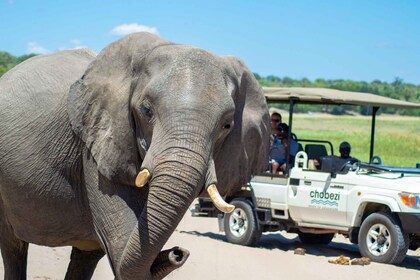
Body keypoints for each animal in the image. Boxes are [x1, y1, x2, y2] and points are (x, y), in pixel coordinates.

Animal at [0, 32, 270, 278]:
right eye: (146, 110)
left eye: (227, 125)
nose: (177, 252)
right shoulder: (97, 145)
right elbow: (120, 248)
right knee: (13, 248)